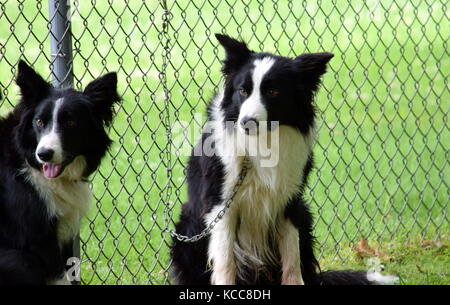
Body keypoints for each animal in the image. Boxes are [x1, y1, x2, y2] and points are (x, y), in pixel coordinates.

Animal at [171, 34, 396, 284]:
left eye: (273, 92)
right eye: (243, 91)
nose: (246, 123)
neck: (265, 141)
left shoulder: (289, 202)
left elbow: (292, 258)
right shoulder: (221, 206)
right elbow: (226, 264)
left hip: (305, 215)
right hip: (187, 230)